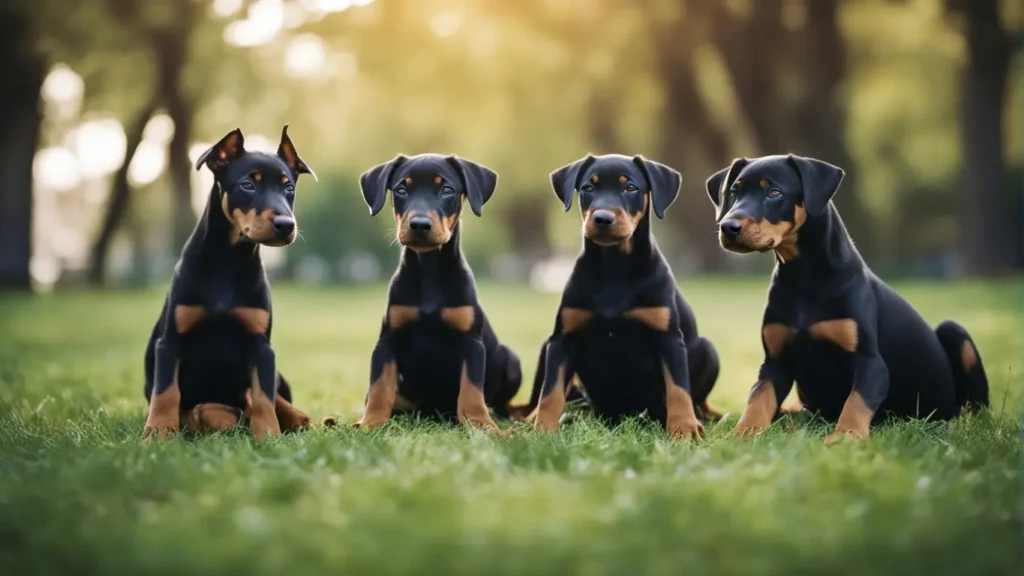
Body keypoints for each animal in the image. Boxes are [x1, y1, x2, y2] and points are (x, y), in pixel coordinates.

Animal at [142, 125, 313, 438]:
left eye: (289, 188)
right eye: (247, 185)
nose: (286, 225)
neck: (229, 260)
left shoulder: (260, 345)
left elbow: (263, 396)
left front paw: (268, 436)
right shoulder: (170, 342)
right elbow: (166, 392)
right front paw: (158, 432)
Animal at [708, 153, 987, 444]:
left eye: (775, 192)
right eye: (734, 192)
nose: (728, 227)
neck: (803, 276)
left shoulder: (870, 363)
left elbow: (856, 402)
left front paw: (844, 437)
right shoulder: (775, 361)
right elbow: (758, 399)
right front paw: (741, 434)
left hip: (954, 334)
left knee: (976, 407)